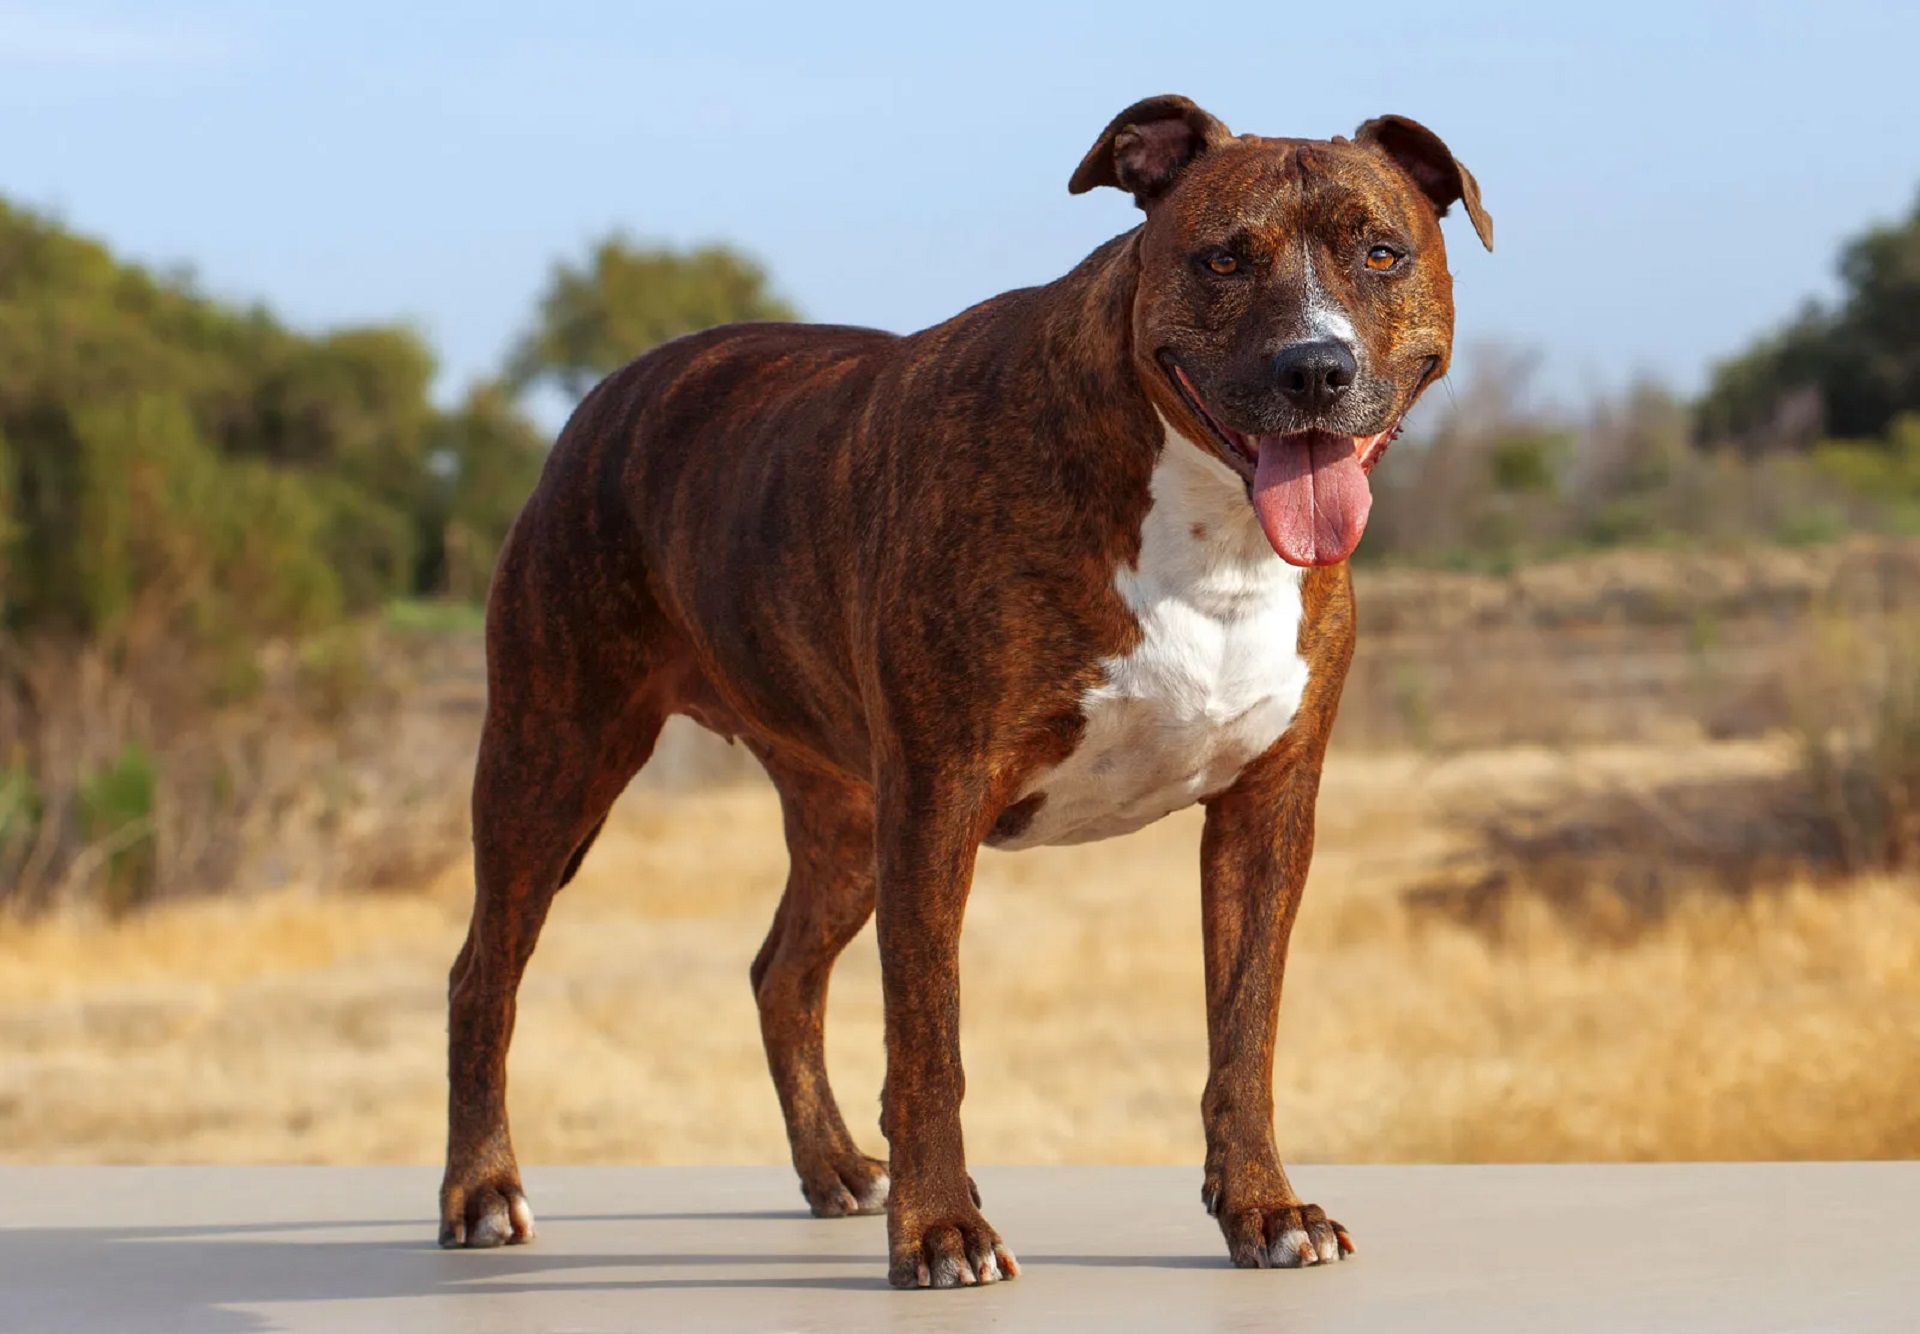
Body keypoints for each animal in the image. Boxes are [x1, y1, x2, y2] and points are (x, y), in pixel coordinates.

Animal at [441, 91, 1489, 1282]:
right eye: (1224, 257)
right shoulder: (941, 797)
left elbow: (1245, 1027)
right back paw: (483, 1190)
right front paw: (941, 1226)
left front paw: (1264, 1207)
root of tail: (605, 396)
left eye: (1381, 252)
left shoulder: (1265, 810)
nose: (1314, 368)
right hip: (554, 760)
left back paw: (833, 1167)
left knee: (781, 974)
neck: (1205, 524)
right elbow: (928, 1036)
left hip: (845, 821)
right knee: (483, 974)